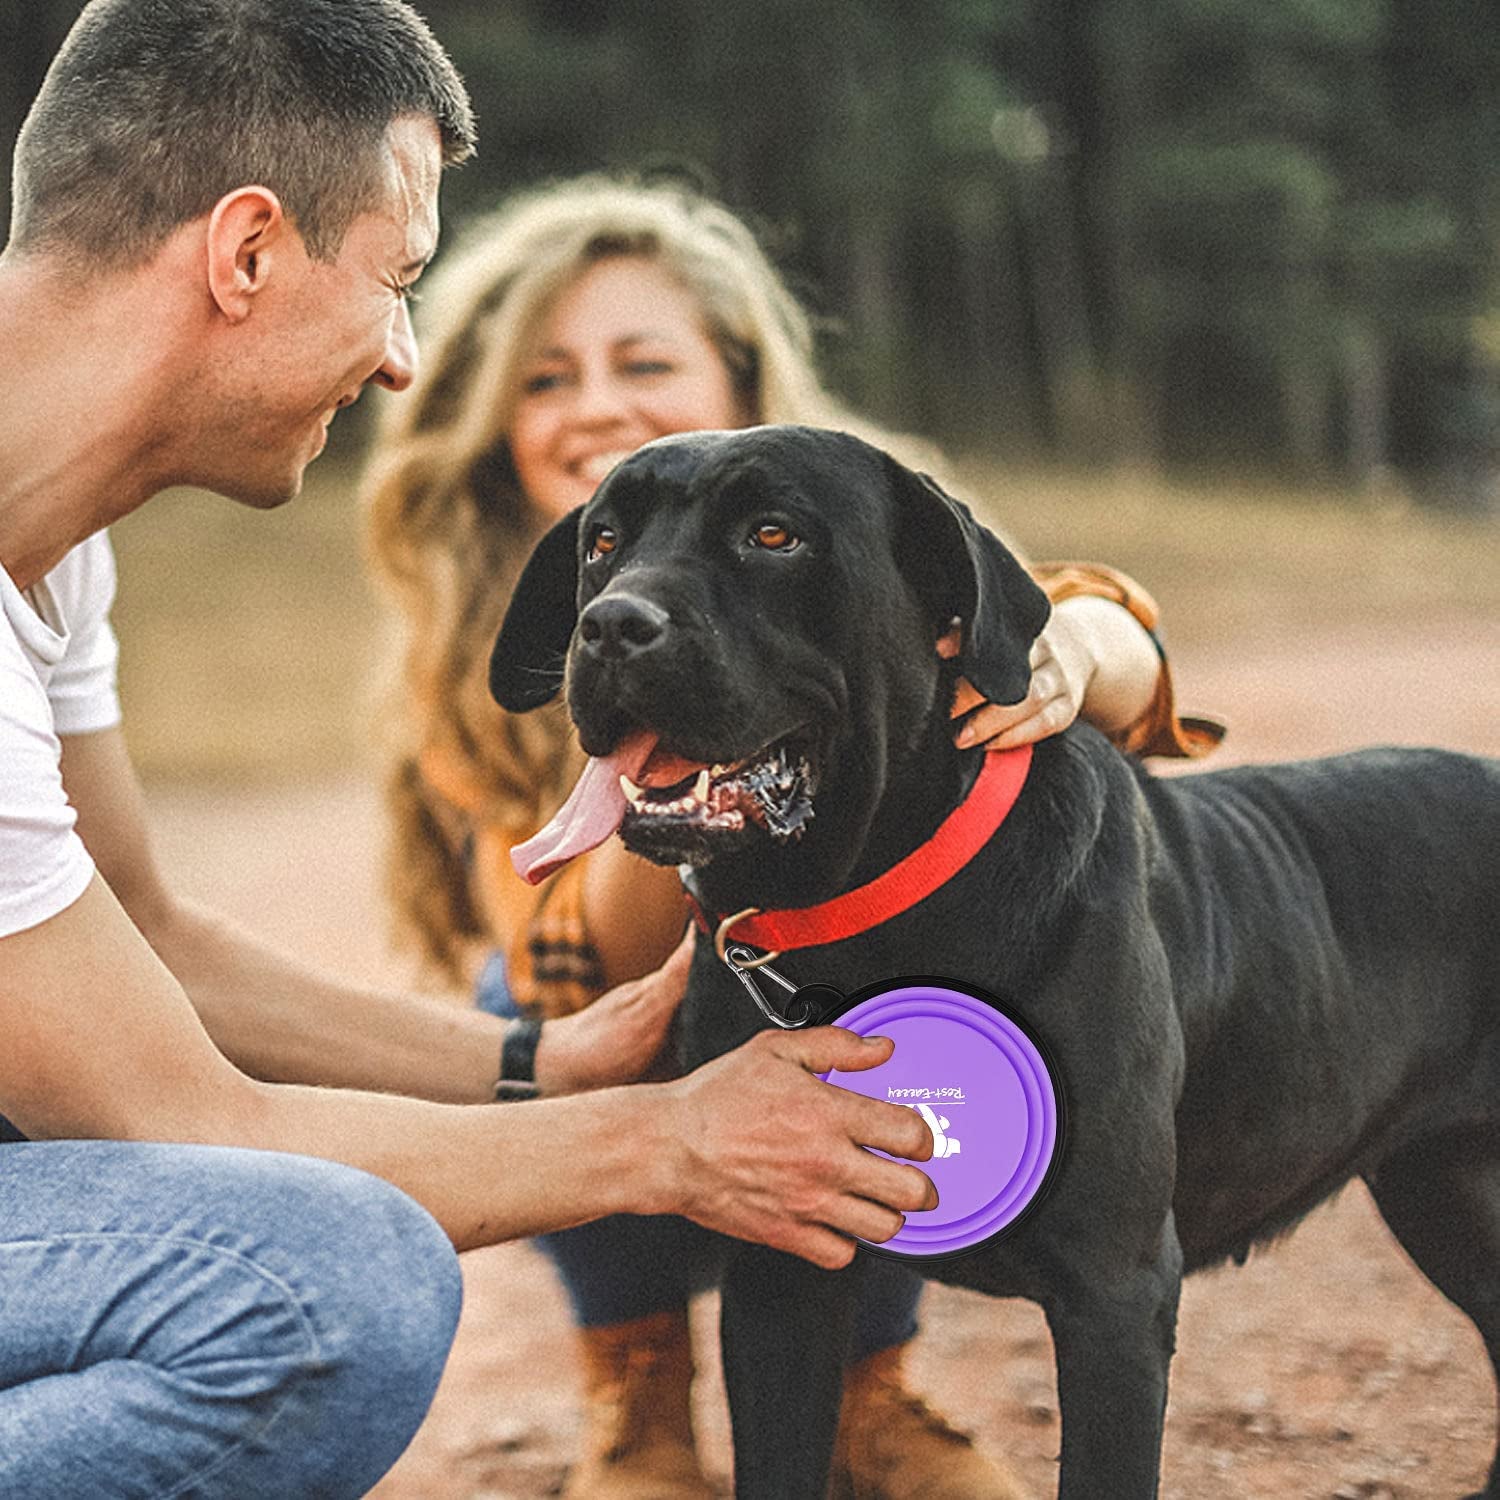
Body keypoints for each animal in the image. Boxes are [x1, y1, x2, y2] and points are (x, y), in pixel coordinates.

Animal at [492, 426, 1500, 1500]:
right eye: (603, 541)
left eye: (774, 534)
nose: (608, 625)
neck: (859, 913)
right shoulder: (779, 1271)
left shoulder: (1114, 1291)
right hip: (1443, 1188)